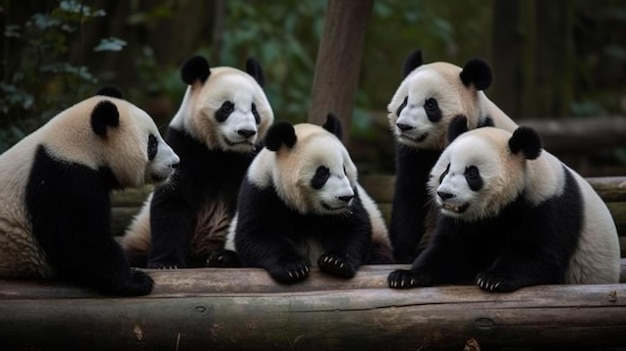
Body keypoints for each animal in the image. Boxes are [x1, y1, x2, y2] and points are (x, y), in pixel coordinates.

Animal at [120, 55, 272, 270]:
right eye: (227, 107)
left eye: (254, 109)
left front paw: (227, 256)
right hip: (141, 234)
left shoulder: (255, 158)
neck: (225, 152)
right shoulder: (185, 146)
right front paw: (166, 263)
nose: (246, 132)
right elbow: (172, 200)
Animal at [212, 114, 392, 284]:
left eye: (345, 170)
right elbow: (256, 235)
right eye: (322, 172)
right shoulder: (261, 191)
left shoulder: (353, 199)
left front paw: (335, 262)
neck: (306, 210)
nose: (345, 197)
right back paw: (223, 259)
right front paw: (292, 267)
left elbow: (354, 228)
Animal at [386, 49, 516, 264]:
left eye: (430, 105)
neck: (437, 144)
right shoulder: (414, 153)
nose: (404, 126)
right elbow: (409, 194)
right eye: (404, 101)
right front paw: (404, 253)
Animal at [388, 122, 616, 292]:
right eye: (446, 169)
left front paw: (493, 278)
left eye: (472, 173)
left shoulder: (548, 206)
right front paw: (405, 276)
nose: (444, 195)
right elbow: (449, 249)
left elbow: (538, 254)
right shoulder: (465, 222)